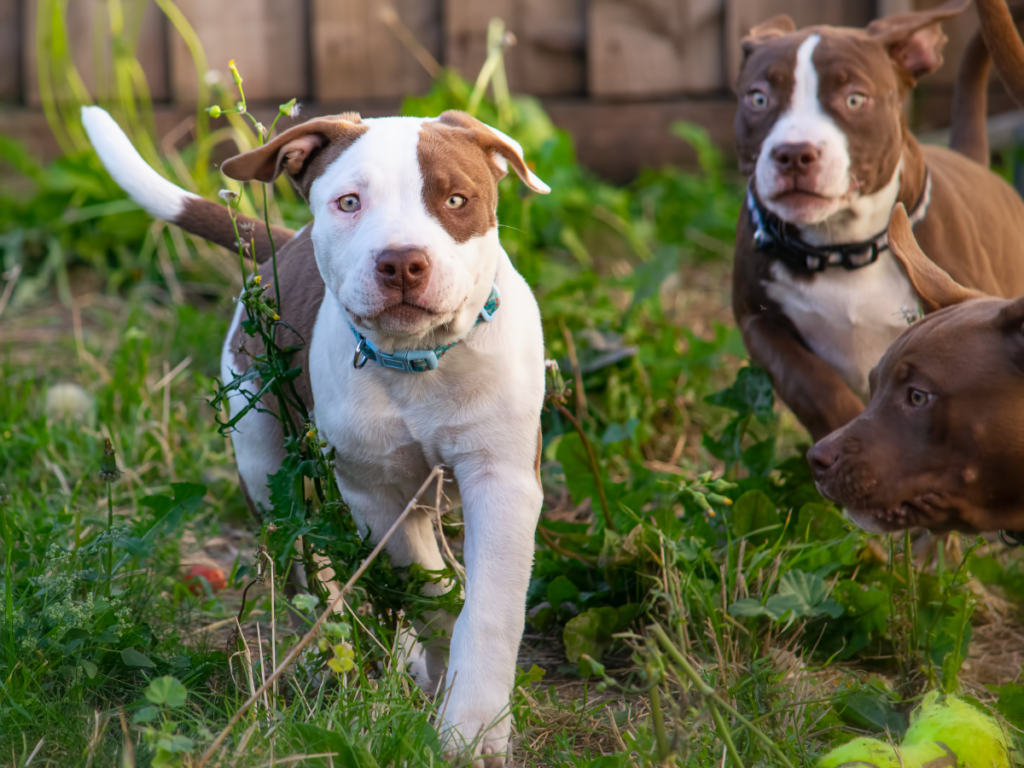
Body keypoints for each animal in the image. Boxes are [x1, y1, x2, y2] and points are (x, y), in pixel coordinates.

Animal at [80, 105, 552, 765]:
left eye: (457, 199)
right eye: (349, 202)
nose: (402, 262)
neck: (418, 362)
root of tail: (285, 245)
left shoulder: (502, 478)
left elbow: (488, 607)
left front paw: (474, 726)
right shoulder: (376, 491)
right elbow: (425, 586)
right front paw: (442, 672)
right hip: (267, 468)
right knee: (314, 578)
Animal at [733, 0, 1024, 442]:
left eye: (855, 99)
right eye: (758, 98)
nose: (794, 153)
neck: (843, 247)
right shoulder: (756, 319)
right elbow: (810, 383)